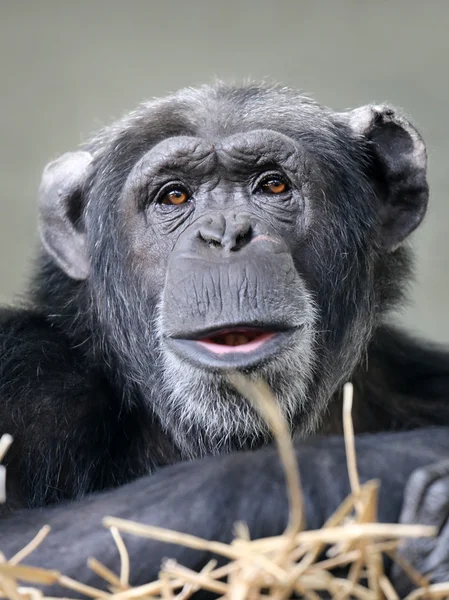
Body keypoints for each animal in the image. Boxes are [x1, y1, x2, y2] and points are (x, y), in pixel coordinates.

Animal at [0, 82, 448, 592]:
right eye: (174, 196)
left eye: (272, 185)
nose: (225, 234)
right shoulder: (29, 381)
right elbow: (22, 552)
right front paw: (395, 462)